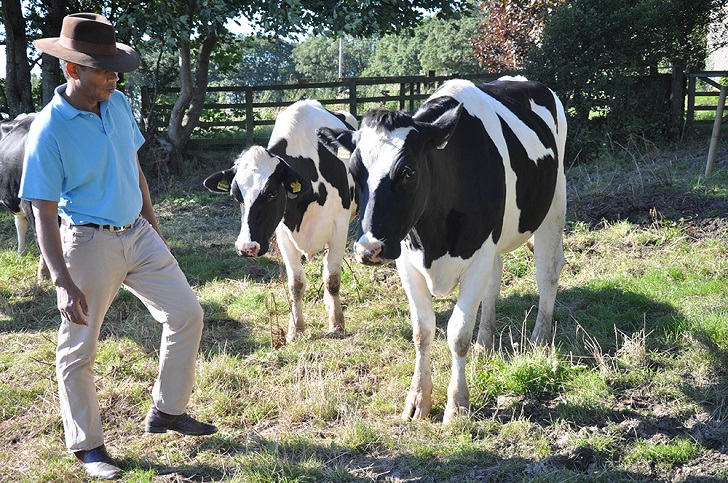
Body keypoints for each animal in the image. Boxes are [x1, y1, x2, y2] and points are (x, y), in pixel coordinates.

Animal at [205, 99, 358, 340]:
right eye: (236, 195)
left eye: (272, 193)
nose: (246, 247)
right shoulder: (283, 234)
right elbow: (296, 283)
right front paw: (296, 329)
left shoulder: (339, 227)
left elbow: (332, 278)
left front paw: (337, 324)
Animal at [320, 75, 568, 424]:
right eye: (355, 173)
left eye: (408, 171)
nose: (369, 249)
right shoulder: (407, 261)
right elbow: (423, 330)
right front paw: (417, 400)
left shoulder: (477, 255)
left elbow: (457, 333)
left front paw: (457, 405)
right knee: (494, 282)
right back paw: (485, 343)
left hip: (554, 204)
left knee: (547, 273)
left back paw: (539, 340)